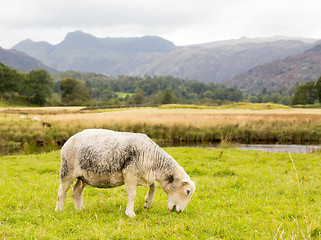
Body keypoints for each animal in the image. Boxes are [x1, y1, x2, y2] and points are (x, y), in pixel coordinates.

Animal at [55, 129, 195, 218]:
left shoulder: (144, 174)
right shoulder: (130, 173)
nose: (179, 211)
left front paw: (147, 203)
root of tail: (68, 141)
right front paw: (130, 213)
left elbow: (154, 186)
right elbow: (132, 194)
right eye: (187, 191)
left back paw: (80, 209)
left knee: (76, 191)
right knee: (61, 192)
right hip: (67, 170)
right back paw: (59, 210)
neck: (154, 161)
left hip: (83, 176)